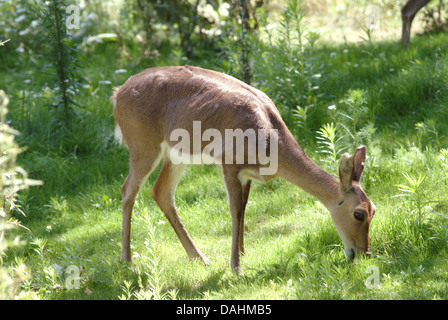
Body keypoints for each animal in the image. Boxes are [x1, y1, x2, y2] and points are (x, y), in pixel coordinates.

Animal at [112, 65, 374, 276]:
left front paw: (243, 252)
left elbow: (244, 208)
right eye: (358, 214)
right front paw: (235, 267)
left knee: (161, 192)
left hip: (176, 153)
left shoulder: (247, 174)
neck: (269, 145)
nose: (363, 253)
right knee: (128, 190)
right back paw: (127, 260)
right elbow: (235, 210)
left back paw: (198, 257)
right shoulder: (229, 161)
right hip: (143, 146)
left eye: (374, 210)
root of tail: (116, 95)